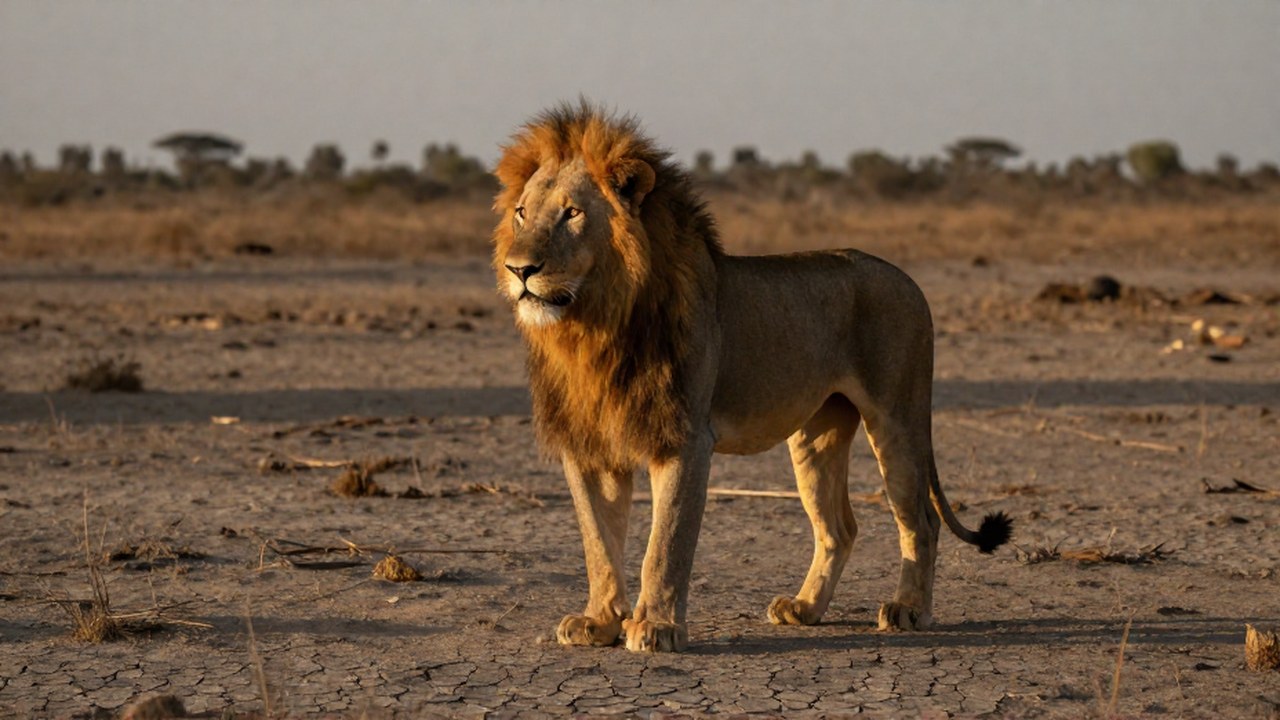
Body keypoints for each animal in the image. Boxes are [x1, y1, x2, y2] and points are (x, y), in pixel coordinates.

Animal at [492, 102, 1011, 653]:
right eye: (522, 213)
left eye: (572, 213)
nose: (518, 269)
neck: (593, 327)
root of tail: (909, 279)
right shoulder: (589, 445)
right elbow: (598, 541)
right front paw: (599, 621)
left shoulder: (684, 438)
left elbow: (666, 543)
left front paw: (656, 626)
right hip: (817, 433)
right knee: (840, 527)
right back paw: (804, 609)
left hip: (897, 417)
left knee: (921, 520)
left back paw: (908, 609)